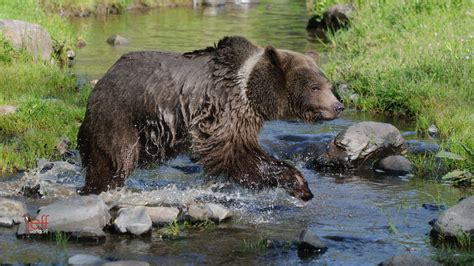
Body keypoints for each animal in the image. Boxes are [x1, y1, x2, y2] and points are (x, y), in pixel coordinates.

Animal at [78, 36, 344, 201]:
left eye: (327, 84)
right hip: (121, 115)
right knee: (114, 158)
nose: (338, 106)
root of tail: (103, 78)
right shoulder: (225, 107)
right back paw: (100, 187)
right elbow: (232, 150)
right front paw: (298, 184)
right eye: (315, 87)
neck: (250, 91)